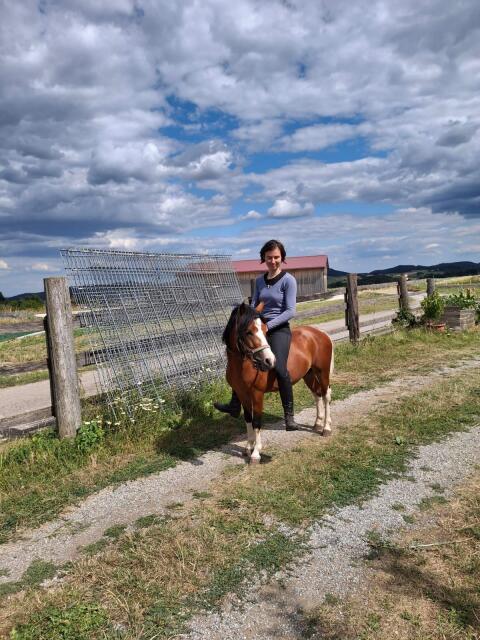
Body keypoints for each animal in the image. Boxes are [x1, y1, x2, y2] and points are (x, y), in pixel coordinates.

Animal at [222, 301, 334, 463]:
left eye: (264, 330)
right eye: (249, 332)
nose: (269, 361)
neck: (243, 364)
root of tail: (320, 333)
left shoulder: (257, 394)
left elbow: (256, 421)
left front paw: (256, 453)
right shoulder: (242, 394)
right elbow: (248, 419)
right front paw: (248, 447)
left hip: (322, 372)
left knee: (325, 396)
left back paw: (326, 428)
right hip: (309, 374)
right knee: (317, 395)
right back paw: (317, 424)